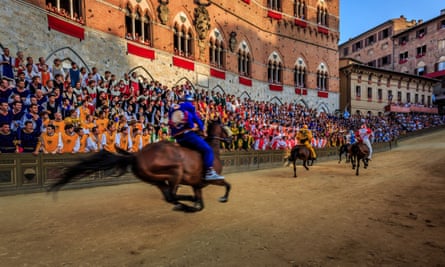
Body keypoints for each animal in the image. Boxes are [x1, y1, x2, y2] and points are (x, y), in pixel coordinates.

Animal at [48, 120, 232, 214]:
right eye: (227, 128)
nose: (230, 140)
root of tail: (137, 155)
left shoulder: (197, 185)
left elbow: (201, 204)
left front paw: (194, 205)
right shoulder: (211, 181)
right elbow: (227, 185)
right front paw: (223, 198)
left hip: (157, 179)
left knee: (169, 196)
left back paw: (184, 204)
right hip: (175, 171)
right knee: (172, 195)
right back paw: (184, 203)